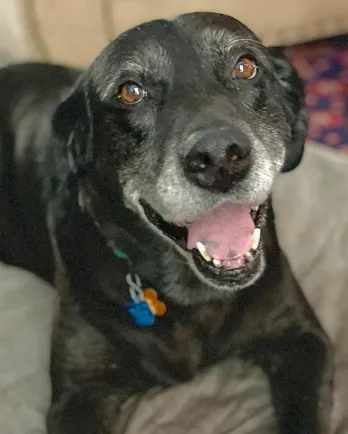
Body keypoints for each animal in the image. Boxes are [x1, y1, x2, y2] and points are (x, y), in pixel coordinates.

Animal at [0, 11, 332, 432]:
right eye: (130, 91)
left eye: (245, 66)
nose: (219, 157)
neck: (193, 295)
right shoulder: (79, 392)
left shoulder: (302, 339)